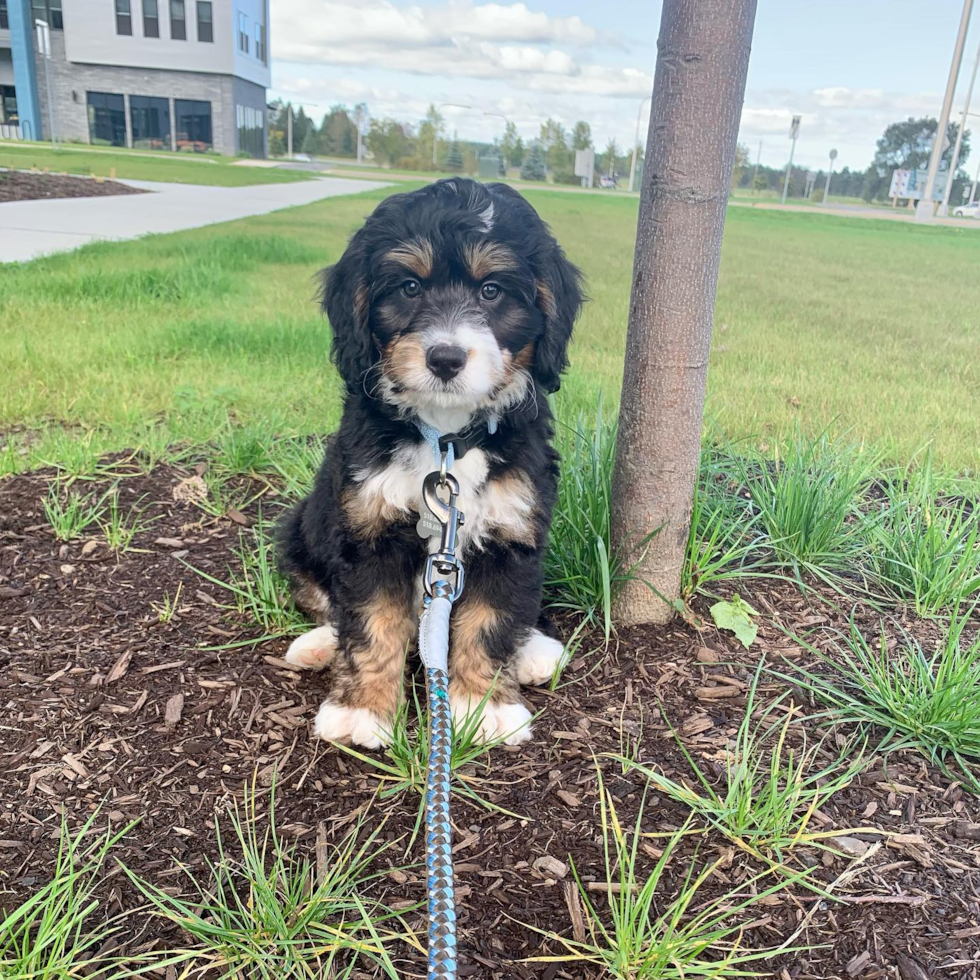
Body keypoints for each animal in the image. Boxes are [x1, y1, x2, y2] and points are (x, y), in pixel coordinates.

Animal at [278, 180, 580, 748]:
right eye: (410, 287)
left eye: (492, 291)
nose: (445, 358)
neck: (446, 439)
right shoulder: (368, 530)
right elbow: (371, 623)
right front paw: (362, 710)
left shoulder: (511, 530)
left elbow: (490, 621)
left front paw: (484, 708)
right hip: (303, 527)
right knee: (329, 602)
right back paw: (319, 643)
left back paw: (534, 649)